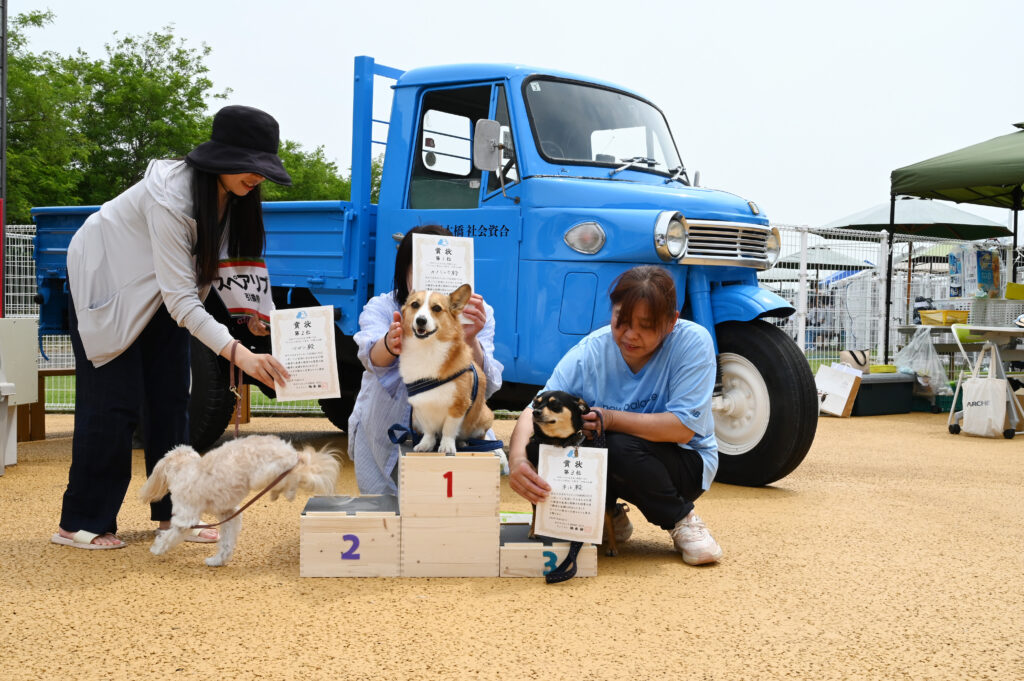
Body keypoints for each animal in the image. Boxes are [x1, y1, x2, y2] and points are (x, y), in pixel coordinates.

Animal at [139, 435, 340, 566]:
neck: (185, 467)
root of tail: (291, 453)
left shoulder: (185, 519)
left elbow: (170, 536)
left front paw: (157, 548)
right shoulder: (229, 513)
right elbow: (226, 542)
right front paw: (217, 560)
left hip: (263, 475)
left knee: (291, 477)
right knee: (292, 479)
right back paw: (279, 493)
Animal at [398, 283, 493, 455]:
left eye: (436, 308)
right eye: (415, 305)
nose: (421, 320)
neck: (427, 350)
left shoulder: (458, 405)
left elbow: (449, 429)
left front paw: (447, 446)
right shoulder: (420, 405)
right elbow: (429, 430)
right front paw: (426, 444)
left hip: (485, 417)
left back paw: (463, 443)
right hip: (414, 420)